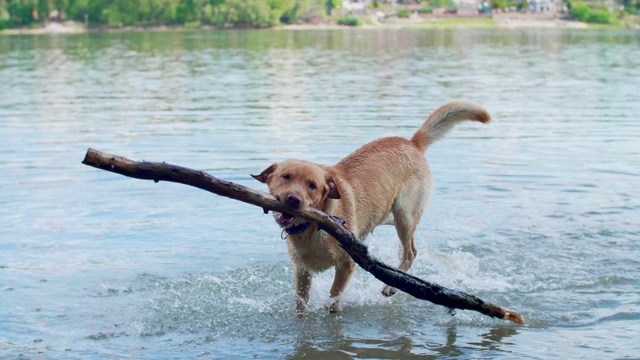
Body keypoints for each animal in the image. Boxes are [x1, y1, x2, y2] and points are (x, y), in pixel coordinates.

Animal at [251, 100, 490, 312]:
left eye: (312, 185)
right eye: (286, 177)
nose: (294, 199)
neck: (312, 226)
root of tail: (412, 143)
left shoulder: (346, 265)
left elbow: (333, 301)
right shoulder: (302, 272)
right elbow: (300, 306)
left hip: (404, 215)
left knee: (410, 252)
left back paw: (390, 287)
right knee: (403, 251)